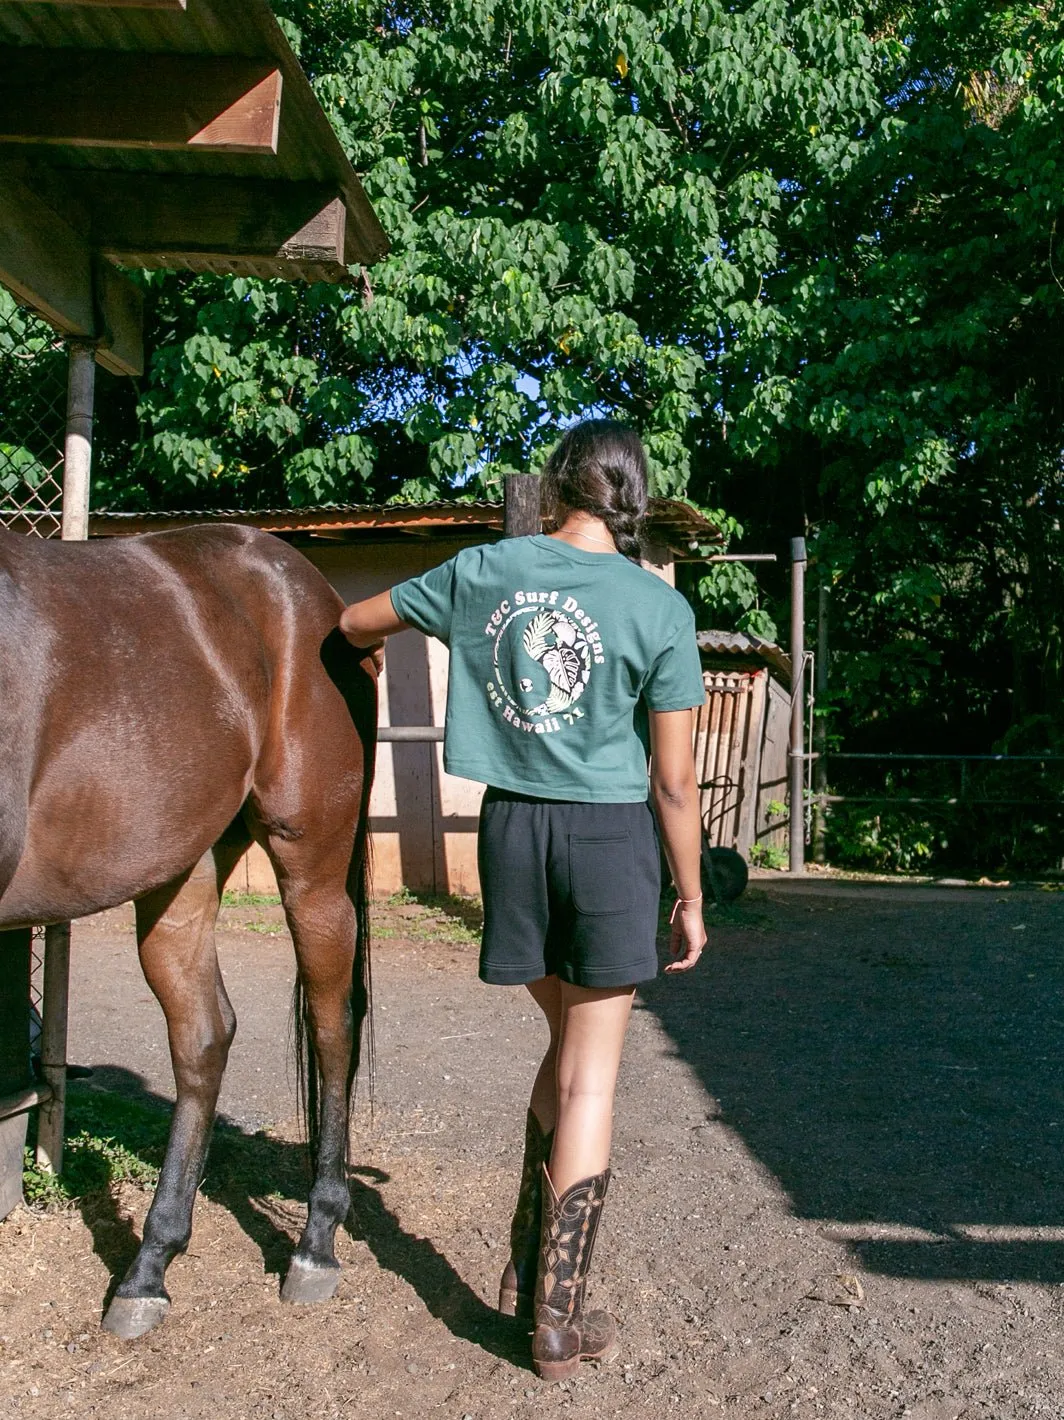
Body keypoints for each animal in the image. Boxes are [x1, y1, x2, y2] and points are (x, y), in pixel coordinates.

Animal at [0, 519, 377, 1329]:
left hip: (311, 865)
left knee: (332, 1024)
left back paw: (316, 1242)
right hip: (182, 871)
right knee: (204, 1036)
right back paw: (149, 1265)